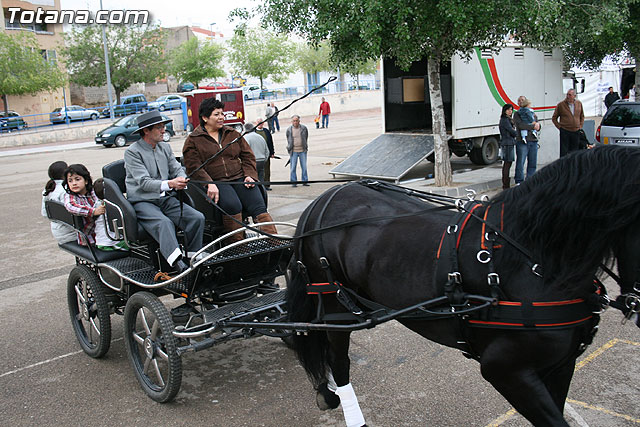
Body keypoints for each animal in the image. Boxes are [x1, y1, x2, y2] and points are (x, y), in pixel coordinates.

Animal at [288, 145, 640, 426]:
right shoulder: (504, 370)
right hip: (336, 308)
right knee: (338, 361)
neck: (531, 258)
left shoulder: (562, 365)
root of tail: (323, 200)